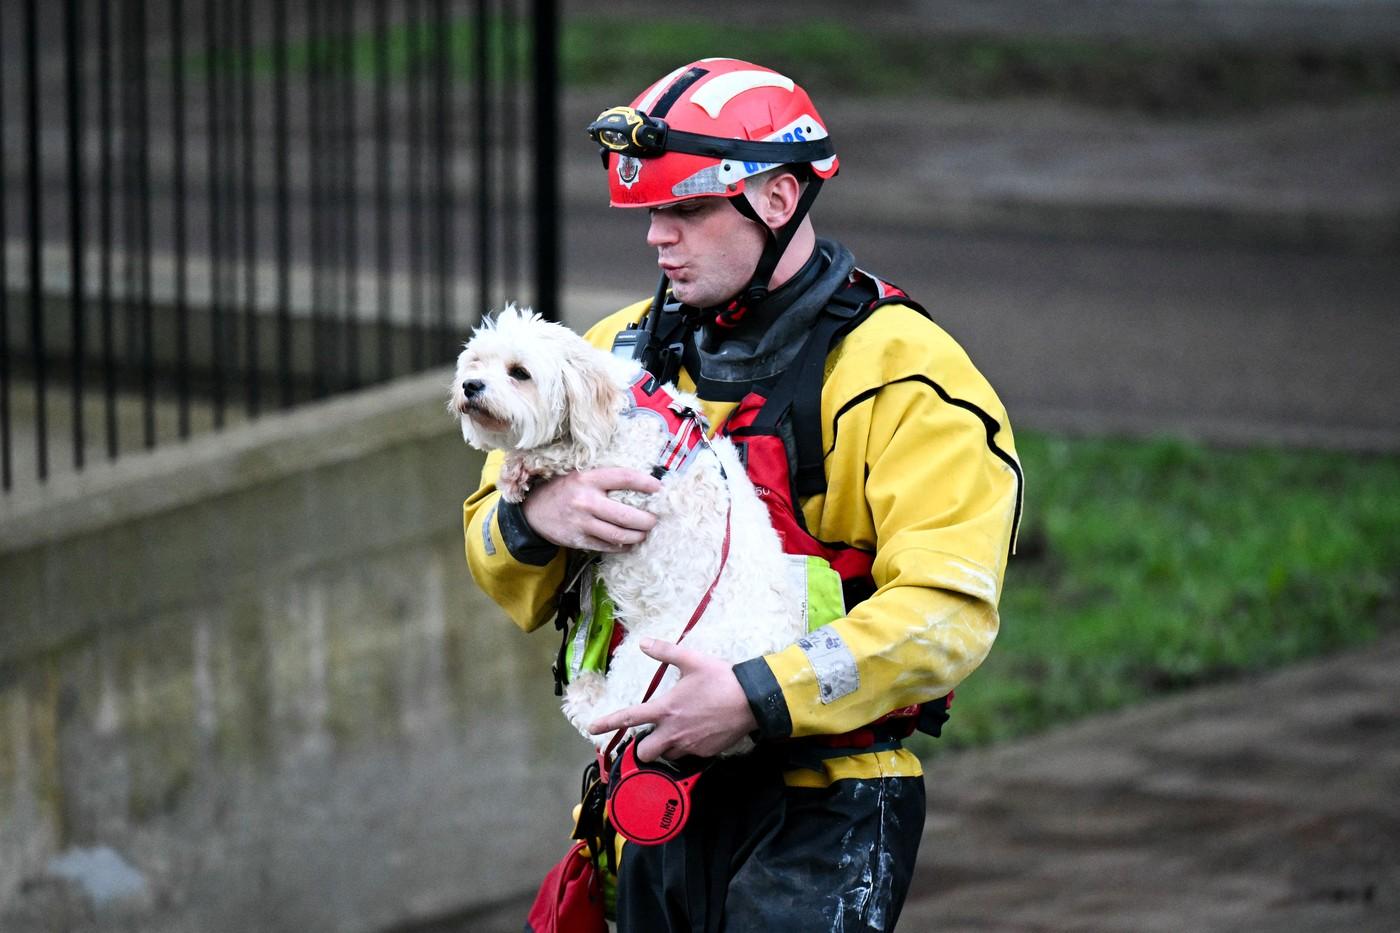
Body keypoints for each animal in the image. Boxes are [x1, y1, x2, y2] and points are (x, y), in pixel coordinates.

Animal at [448, 306, 800, 756]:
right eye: (476, 362)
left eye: (519, 373)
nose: (470, 385)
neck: (619, 408)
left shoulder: (628, 476)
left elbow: (563, 457)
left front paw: (522, 467)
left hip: (650, 660)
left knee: (608, 723)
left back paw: (586, 692)